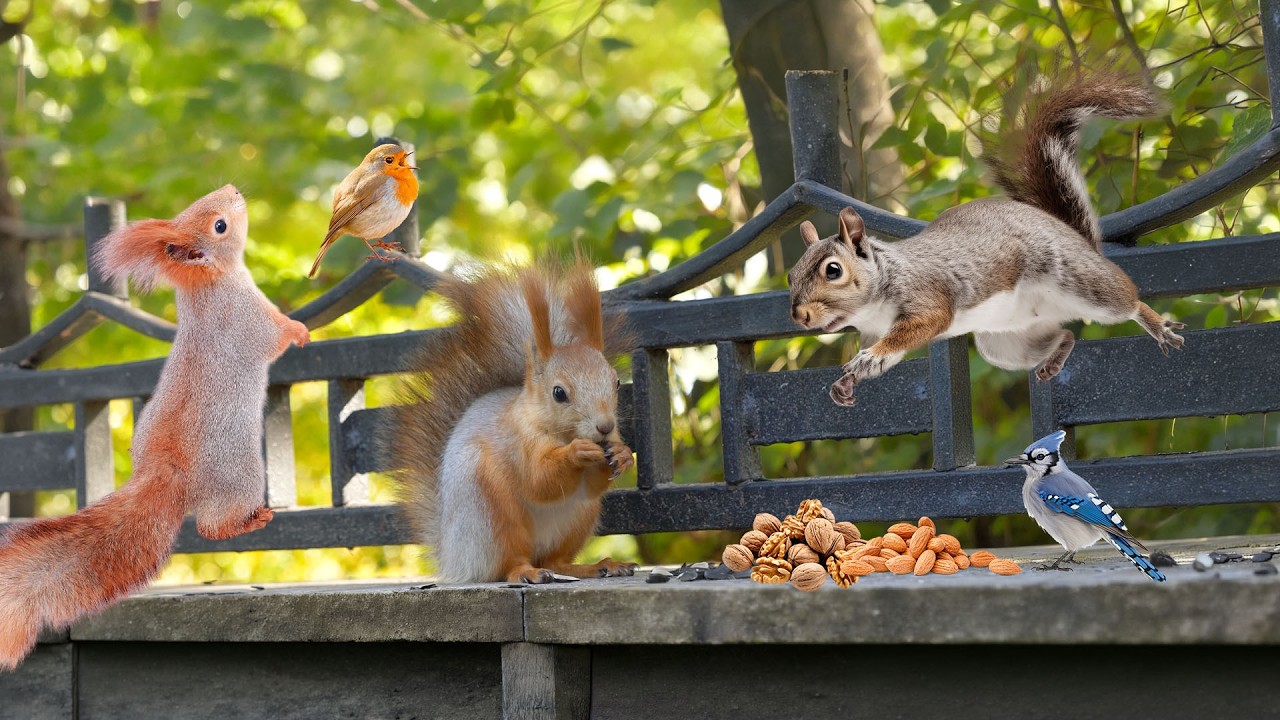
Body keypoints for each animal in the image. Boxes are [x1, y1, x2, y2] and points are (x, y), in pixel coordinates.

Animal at [0, 185, 309, 670]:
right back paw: (251, 520)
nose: (234, 190)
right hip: (239, 473)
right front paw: (299, 329)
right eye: (220, 225)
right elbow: (274, 336)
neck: (208, 285)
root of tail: (168, 470)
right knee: (212, 528)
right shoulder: (247, 318)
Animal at [390, 261, 638, 584]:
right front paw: (578, 452)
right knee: (509, 563)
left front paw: (623, 454)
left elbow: (591, 487)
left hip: (578, 520)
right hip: (491, 513)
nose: (605, 427)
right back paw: (526, 572)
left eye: (616, 382)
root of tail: (454, 559)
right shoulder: (518, 442)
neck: (559, 432)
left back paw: (595, 566)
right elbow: (539, 481)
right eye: (559, 393)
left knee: (556, 561)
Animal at [787, 69, 1185, 407]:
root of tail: (1074, 236)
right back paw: (1054, 359)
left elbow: (921, 326)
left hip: (1082, 282)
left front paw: (872, 357)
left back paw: (1155, 324)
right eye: (791, 276)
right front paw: (844, 384)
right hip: (1005, 344)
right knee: (1065, 335)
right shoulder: (872, 328)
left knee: (1126, 302)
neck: (874, 305)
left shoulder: (927, 293)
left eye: (833, 271)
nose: (799, 316)